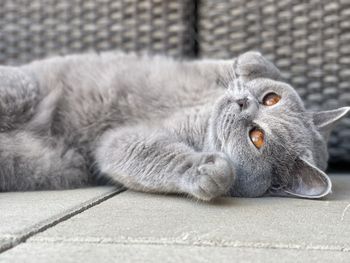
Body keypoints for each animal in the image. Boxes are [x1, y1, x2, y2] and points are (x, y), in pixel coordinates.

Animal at [0, 50, 348, 201]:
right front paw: (249, 65)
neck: (202, 111)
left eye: (257, 137)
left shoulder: (122, 141)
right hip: (20, 88)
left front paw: (210, 172)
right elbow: (253, 62)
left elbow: (145, 153)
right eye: (271, 99)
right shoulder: (204, 74)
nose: (242, 104)